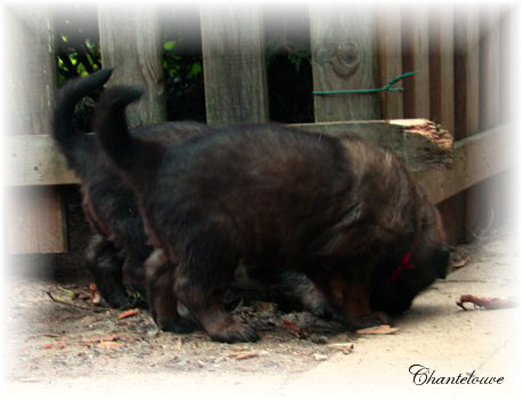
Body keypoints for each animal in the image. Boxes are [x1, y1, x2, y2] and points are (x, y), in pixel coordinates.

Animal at [94, 86, 446, 342]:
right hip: (214, 241)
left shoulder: (319, 257)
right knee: (192, 287)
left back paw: (171, 321)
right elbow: (354, 292)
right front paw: (367, 318)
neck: (413, 221)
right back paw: (227, 329)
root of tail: (156, 159)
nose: (400, 309)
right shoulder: (353, 256)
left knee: (156, 270)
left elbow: (327, 288)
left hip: (179, 240)